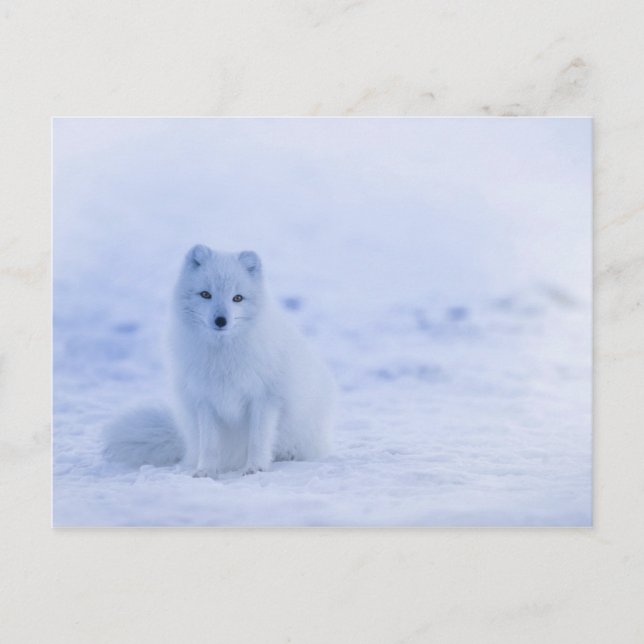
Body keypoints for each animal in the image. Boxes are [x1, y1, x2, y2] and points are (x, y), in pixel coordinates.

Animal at [103, 244, 336, 478]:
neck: (223, 356)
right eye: (206, 294)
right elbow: (210, 444)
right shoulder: (205, 400)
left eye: (237, 298)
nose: (221, 320)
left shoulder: (265, 397)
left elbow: (258, 440)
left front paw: (255, 468)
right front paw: (205, 471)